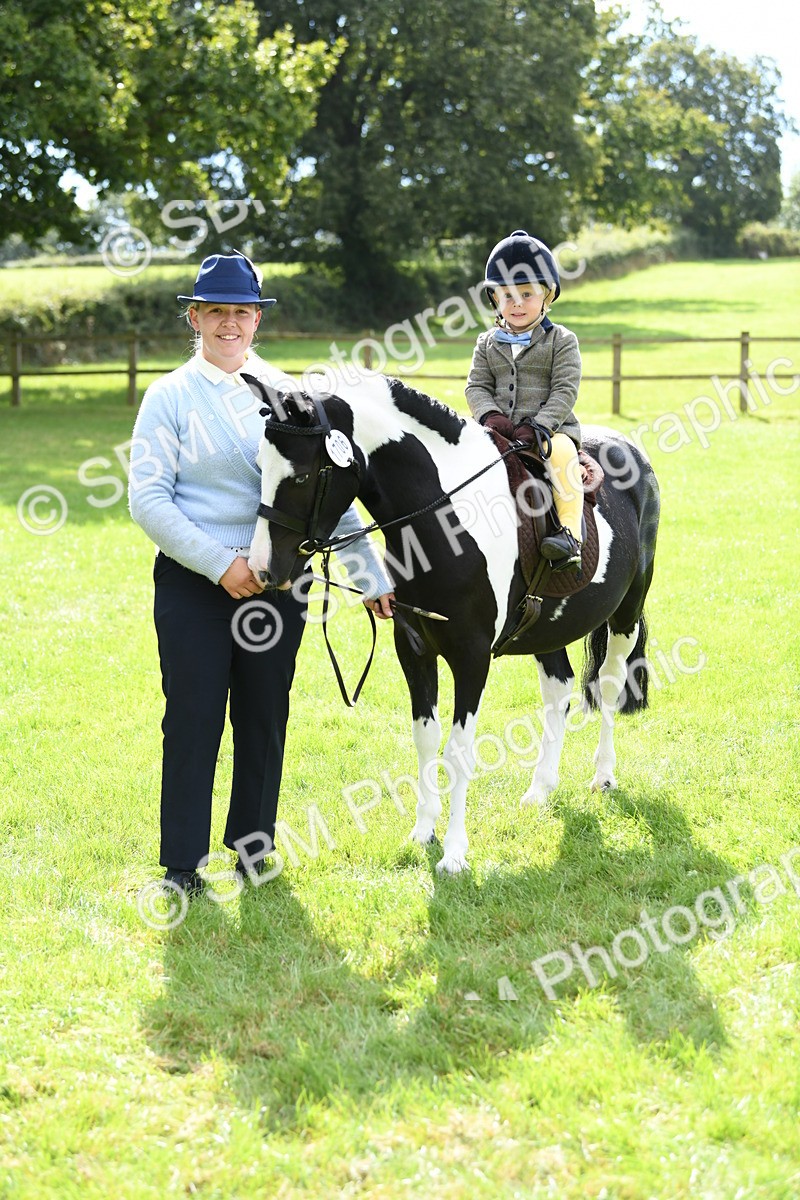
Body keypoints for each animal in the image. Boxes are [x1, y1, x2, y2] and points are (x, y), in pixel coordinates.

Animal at [245, 372, 660, 875]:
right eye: (260, 466)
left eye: (302, 476)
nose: (263, 569)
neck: (447, 517)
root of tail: (627, 448)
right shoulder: (414, 649)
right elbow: (427, 739)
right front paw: (423, 831)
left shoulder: (471, 657)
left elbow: (460, 751)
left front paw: (455, 853)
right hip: (549, 627)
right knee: (558, 691)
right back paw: (540, 790)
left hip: (626, 614)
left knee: (611, 686)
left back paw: (603, 776)